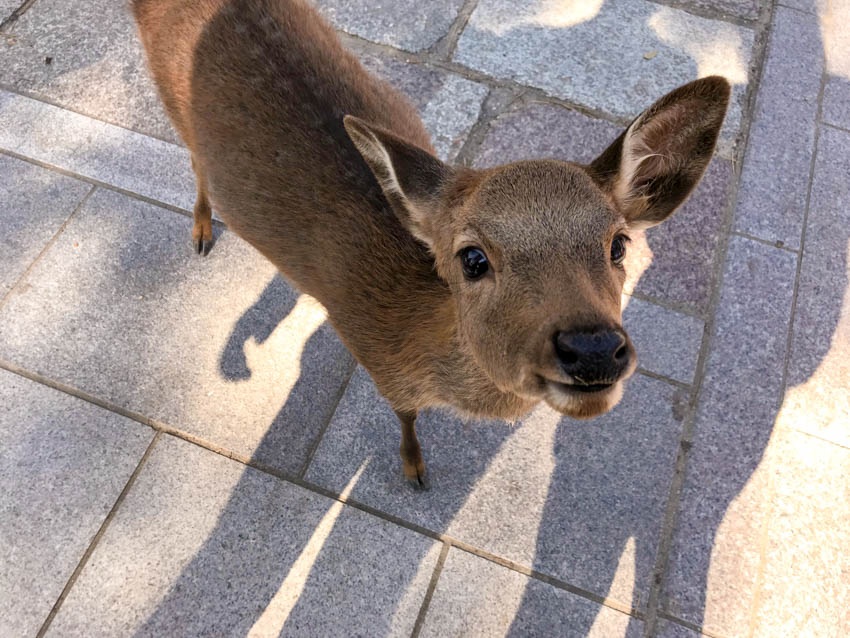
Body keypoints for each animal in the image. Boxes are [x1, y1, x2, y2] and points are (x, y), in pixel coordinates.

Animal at [132, 0, 728, 488]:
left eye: (619, 245)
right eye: (473, 258)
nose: (594, 349)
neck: (417, 330)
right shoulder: (379, 365)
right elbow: (405, 417)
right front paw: (414, 469)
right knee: (195, 163)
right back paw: (202, 233)